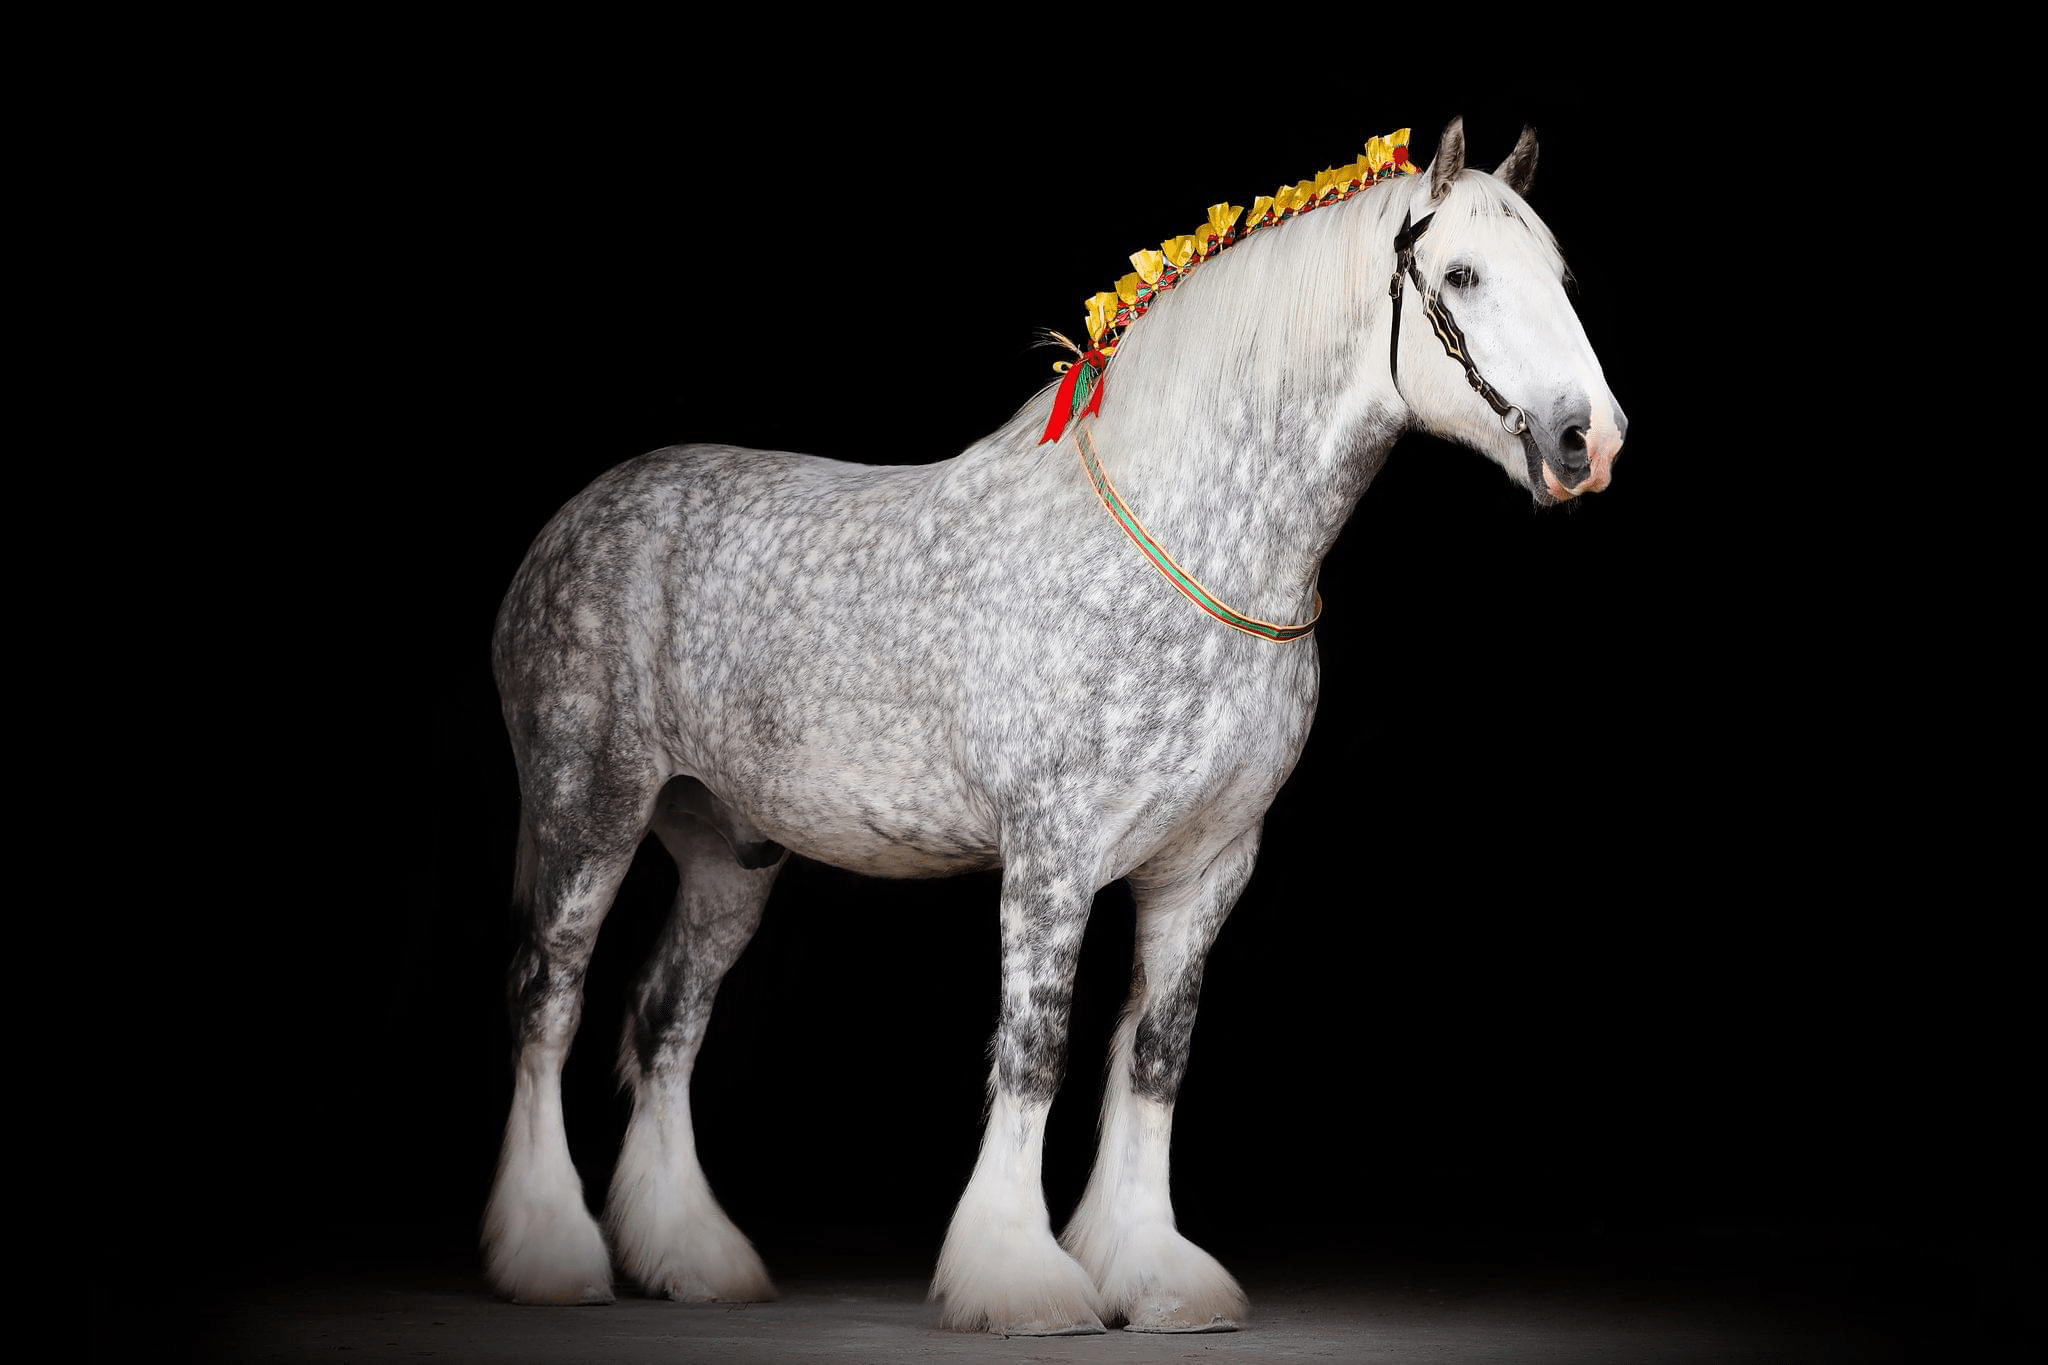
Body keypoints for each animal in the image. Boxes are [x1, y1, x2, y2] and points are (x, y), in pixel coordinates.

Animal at [483, 118, 1626, 1334]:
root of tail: (571, 525)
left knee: (664, 1020)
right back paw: (550, 1251)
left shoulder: (1206, 866)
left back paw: (691, 1257)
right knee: (547, 999)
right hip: (590, 812)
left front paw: (1153, 1272)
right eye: (1460, 277)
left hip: (727, 850)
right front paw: (1017, 1276)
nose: (1586, 441)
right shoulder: (1051, 854)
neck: (1182, 541)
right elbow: (1035, 1049)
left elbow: (1154, 1056)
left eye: (1558, 278)